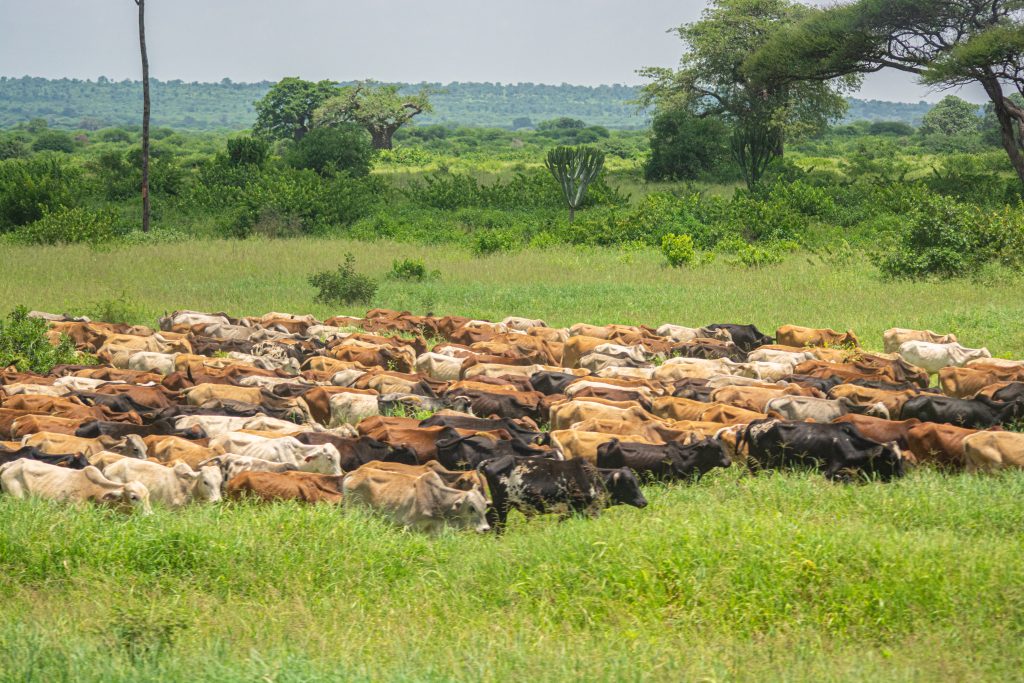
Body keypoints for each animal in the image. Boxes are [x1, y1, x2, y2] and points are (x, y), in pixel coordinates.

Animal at [342, 466, 489, 536]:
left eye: (485, 506)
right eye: (472, 508)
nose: (486, 529)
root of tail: (355, 472)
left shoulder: (432, 530)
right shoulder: (409, 525)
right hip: (353, 510)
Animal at [475, 456, 643, 532]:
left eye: (636, 481)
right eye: (628, 483)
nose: (644, 502)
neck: (594, 479)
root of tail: (493, 460)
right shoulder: (576, 510)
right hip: (502, 506)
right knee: (499, 526)